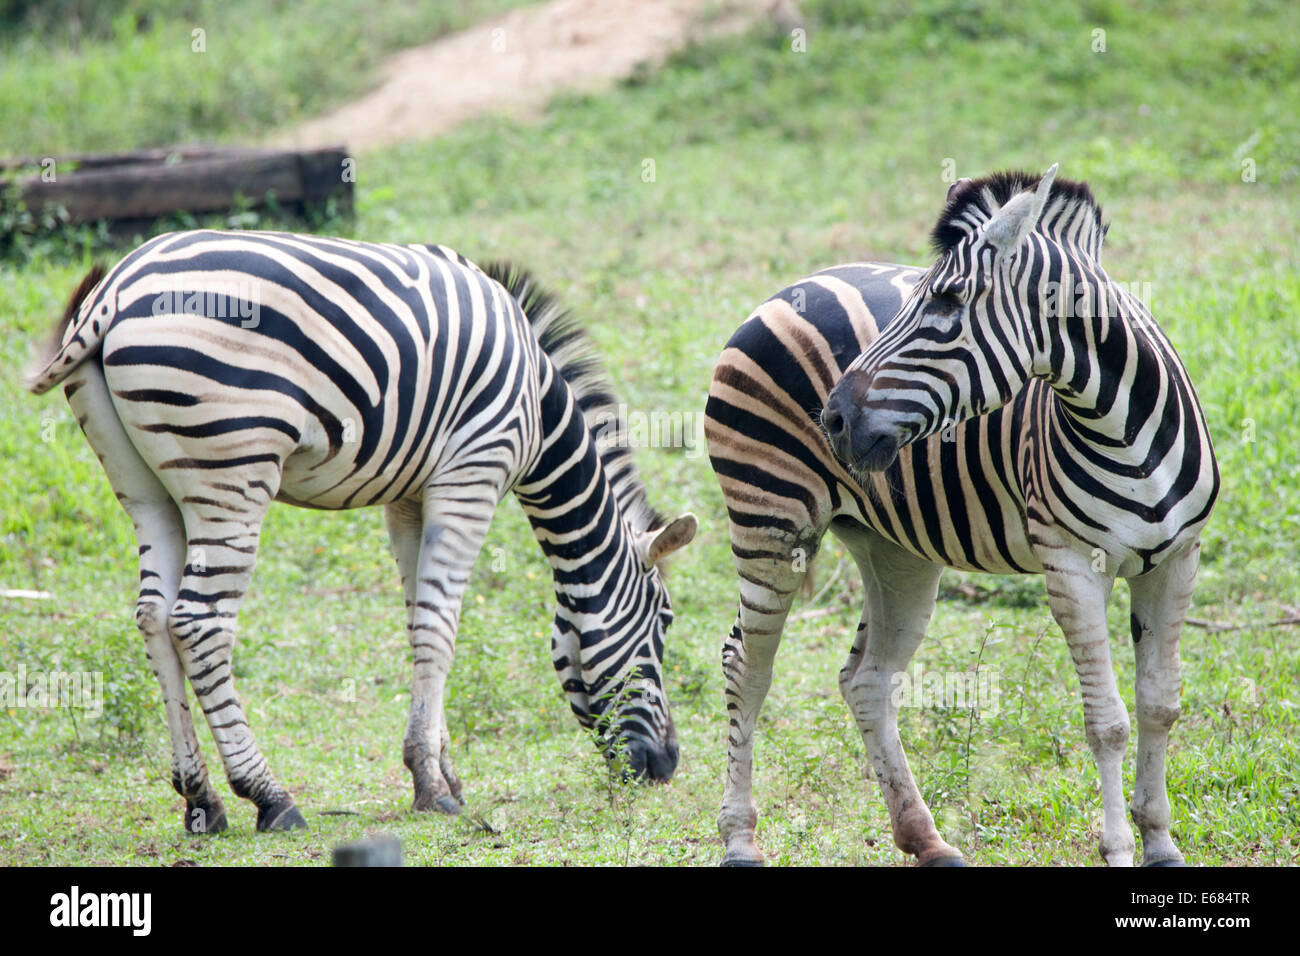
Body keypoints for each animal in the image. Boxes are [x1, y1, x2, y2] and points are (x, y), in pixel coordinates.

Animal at [27, 229, 697, 833]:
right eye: (664, 623)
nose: (666, 766)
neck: (536, 404)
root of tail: (114, 289)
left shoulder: (409, 497)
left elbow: (419, 619)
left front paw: (444, 772)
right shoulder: (473, 472)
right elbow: (440, 627)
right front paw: (432, 785)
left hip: (146, 487)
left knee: (153, 616)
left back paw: (201, 800)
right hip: (231, 472)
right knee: (197, 623)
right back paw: (269, 796)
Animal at [705, 165, 1218, 866]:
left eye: (948, 302)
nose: (832, 419)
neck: (1125, 428)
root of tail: (787, 290)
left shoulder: (1175, 560)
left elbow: (1160, 705)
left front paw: (1161, 843)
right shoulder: (1071, 565)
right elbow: (1107, 720)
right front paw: (1116, 848)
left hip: (895, 549)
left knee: (867, 681)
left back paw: (926, 839)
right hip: (770, 522)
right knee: (746, 666)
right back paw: (740, 837)